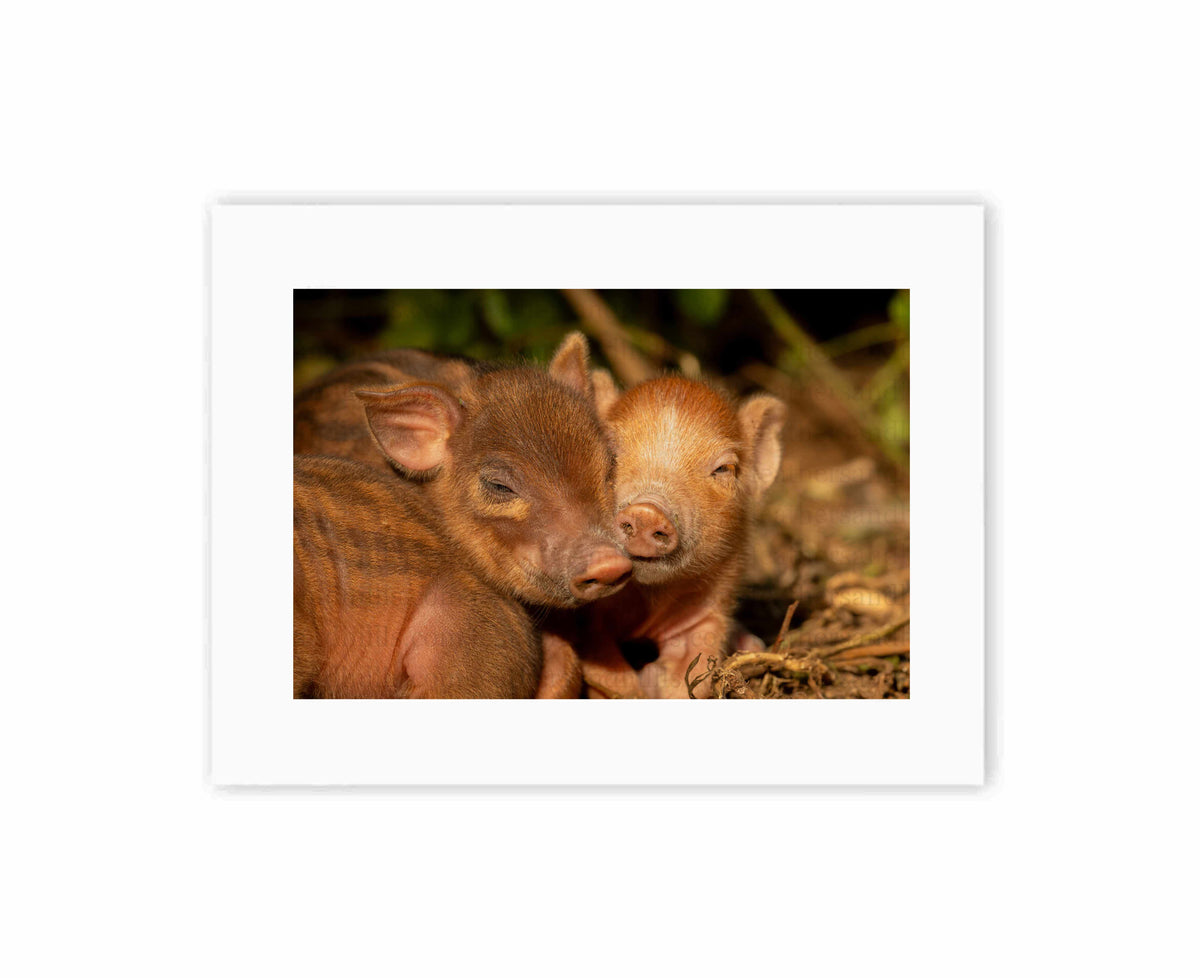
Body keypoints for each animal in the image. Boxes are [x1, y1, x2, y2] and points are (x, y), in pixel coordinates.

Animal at [574, 373, 786, 698]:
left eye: (724, 468)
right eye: (610, 451)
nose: (647, 510)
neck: (648, 600)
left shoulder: (707, 616)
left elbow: (691, 672)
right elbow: (608, 670)